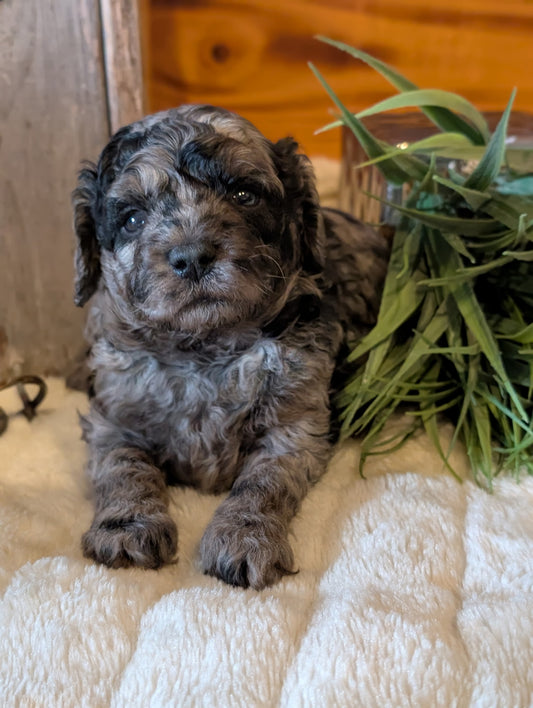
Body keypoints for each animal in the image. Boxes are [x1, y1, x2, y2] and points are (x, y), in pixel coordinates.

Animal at [72, 105, 388, 588]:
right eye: (132, 219)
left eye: (243, 194)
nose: (192, 257)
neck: (205, 346)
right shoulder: (114, 416)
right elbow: (123, 467)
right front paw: (126, 527)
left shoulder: (295, 426)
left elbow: (264, 483)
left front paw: (244, 538)